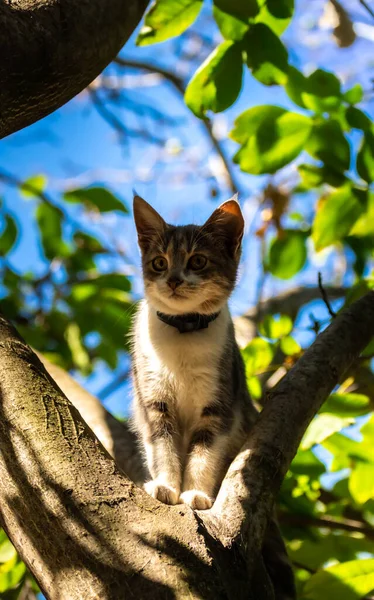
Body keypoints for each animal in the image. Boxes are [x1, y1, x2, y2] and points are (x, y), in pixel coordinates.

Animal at [130, 195, 258, 508]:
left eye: (198, 261)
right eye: (159, 263)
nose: (174, 279)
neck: (183, 333)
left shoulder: (219, 401)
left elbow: (205, 450)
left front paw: (196, 494)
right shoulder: (153, 399)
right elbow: (162, 444)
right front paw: (165, 486)